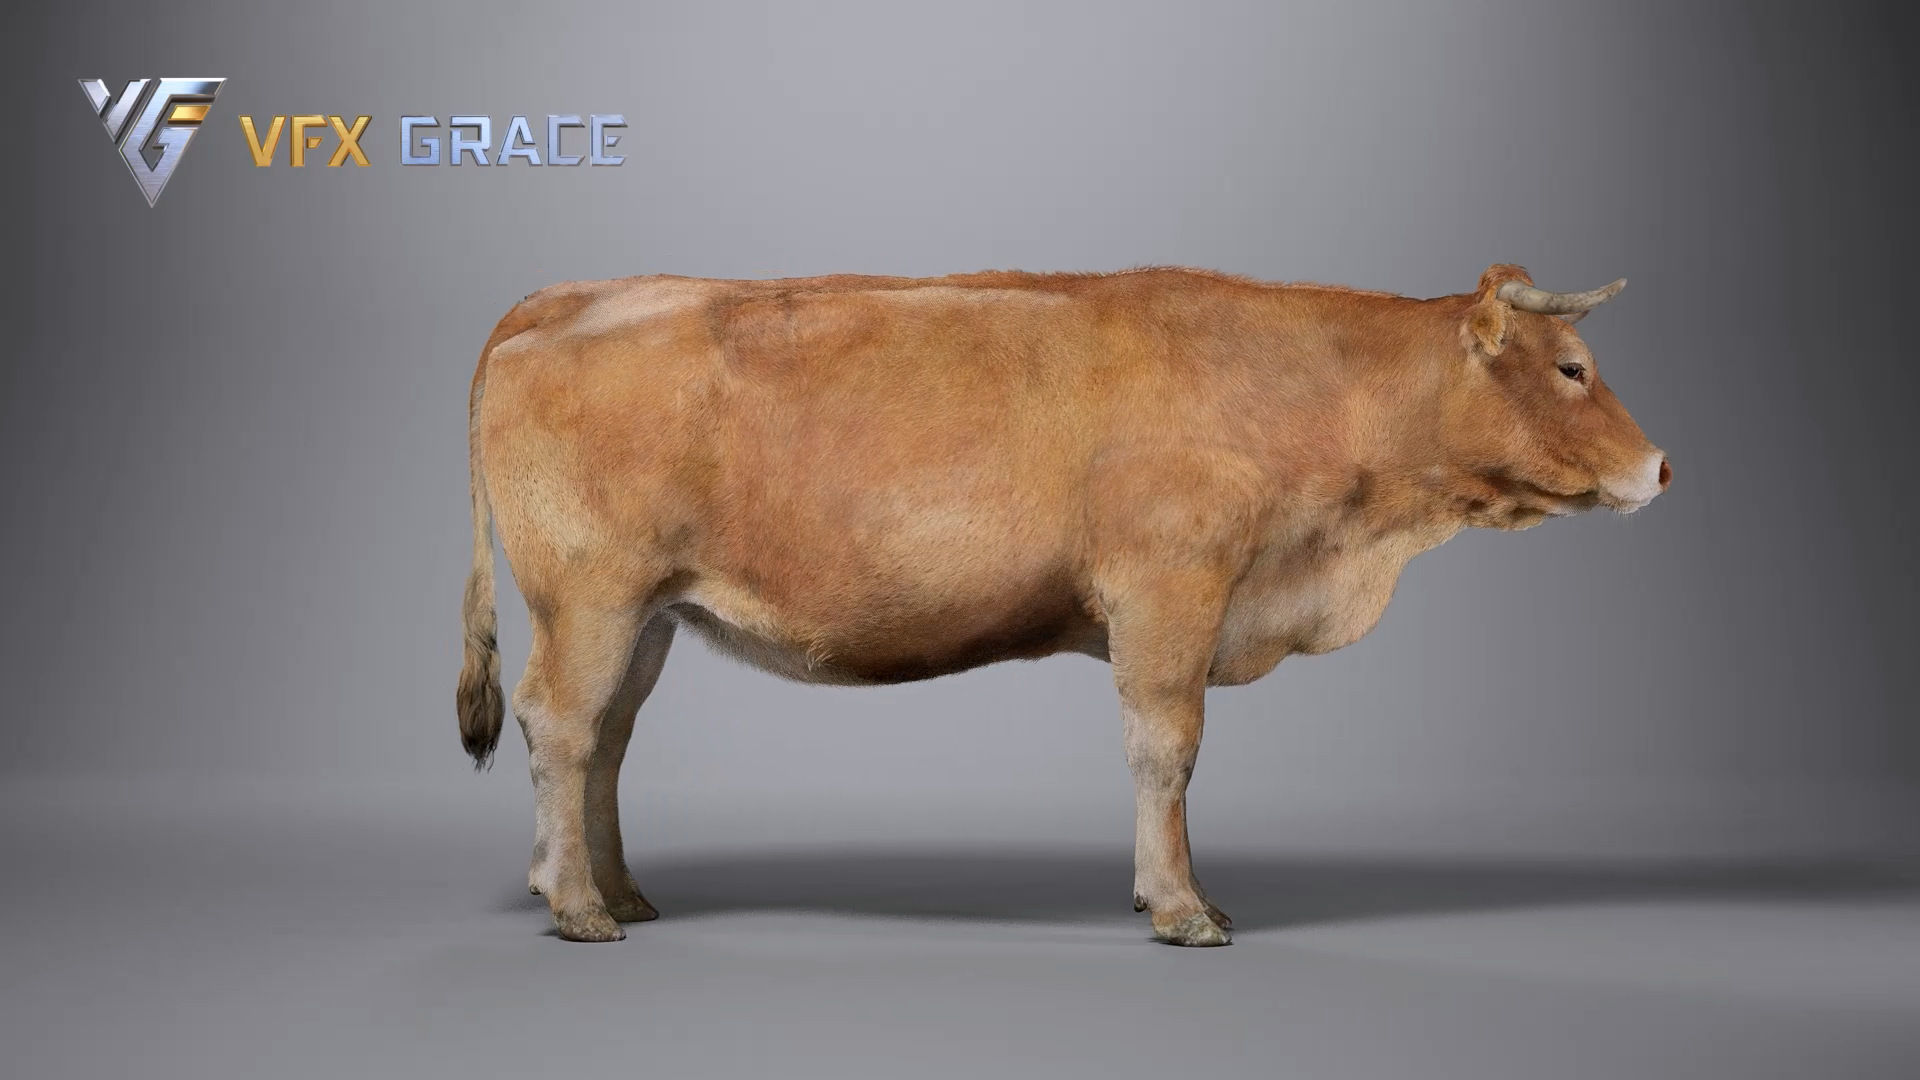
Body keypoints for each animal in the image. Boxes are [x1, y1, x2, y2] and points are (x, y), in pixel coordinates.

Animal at [455, 263, 1670, 945]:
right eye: (1572, 367)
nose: (1662, 467)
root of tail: (558, 301)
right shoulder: (1170, 588)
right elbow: (1166, 749)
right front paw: (1181, 909)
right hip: (591, 594)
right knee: (561, 725)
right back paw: (576, 908)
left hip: (648, 614)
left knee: (607, 737)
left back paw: (618, 891)